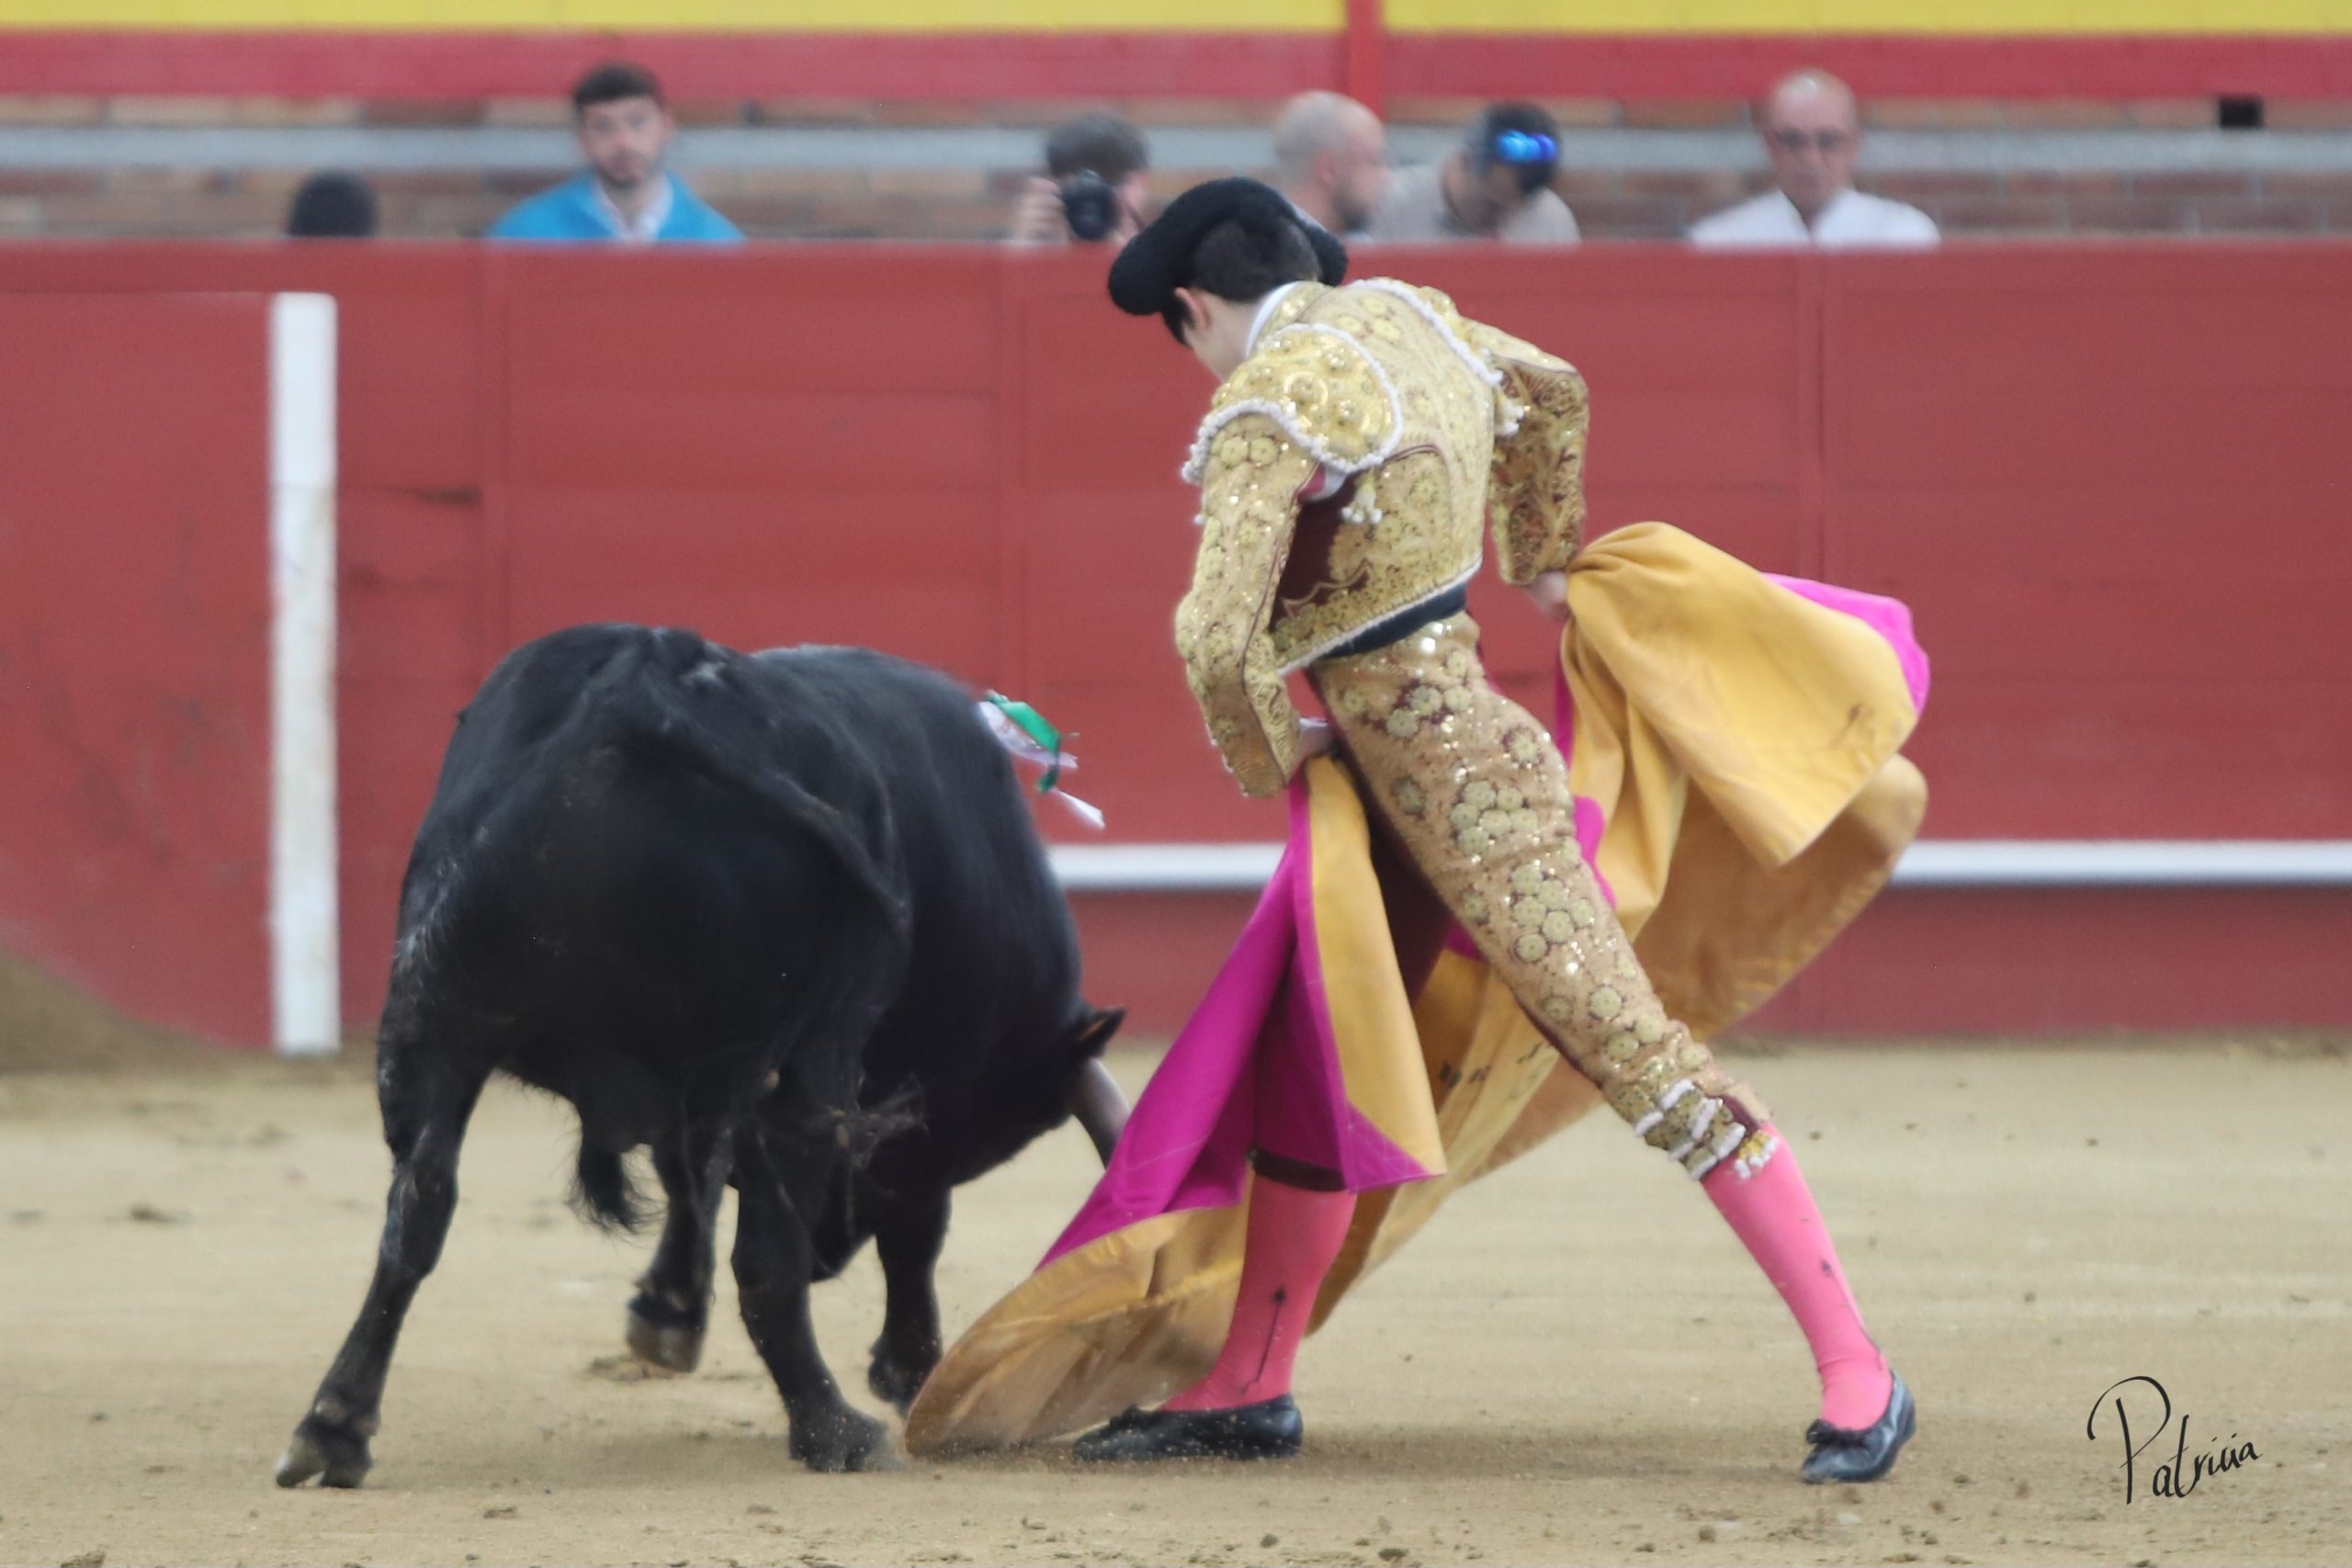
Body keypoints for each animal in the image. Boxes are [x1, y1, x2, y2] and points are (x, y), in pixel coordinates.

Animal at [274, 624, 1127, 1485]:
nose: (828, 1255)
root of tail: (641, 687)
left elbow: (693, 1180)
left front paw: (667, 1309)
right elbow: (908, 1225)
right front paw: (910, 1369)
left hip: (436, 1020)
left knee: (416, 1212)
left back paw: (332, 1426)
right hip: (804, 1052)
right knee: (767, 1261)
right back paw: (834, 1430)